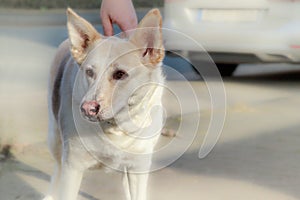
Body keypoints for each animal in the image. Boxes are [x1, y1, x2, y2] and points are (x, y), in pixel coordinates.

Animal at [42, 7, 164, 200]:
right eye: (89, 72)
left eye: (120, 74)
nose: (87, 108)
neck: (115, 128)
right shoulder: (72, 167)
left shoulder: (139, 167)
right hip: (54, 139)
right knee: (57, 170)